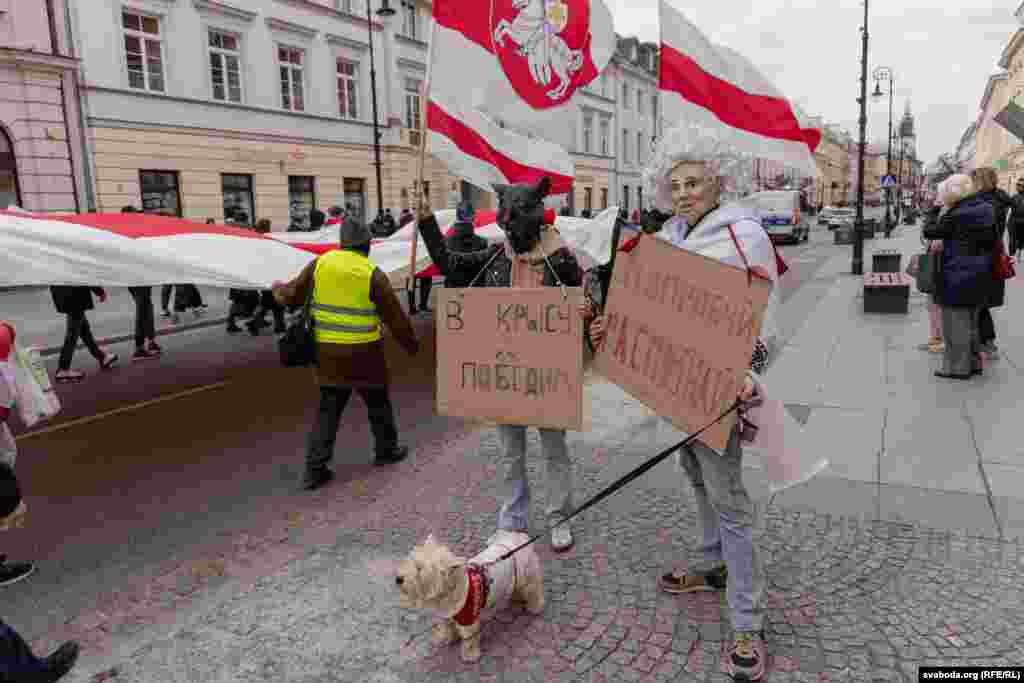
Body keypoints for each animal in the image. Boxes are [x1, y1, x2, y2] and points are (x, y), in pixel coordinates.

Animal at [395, 528, 548, 663]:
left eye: (419, 569)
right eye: (409, 560)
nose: (398, 579)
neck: (448, 591)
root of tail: (521, 538)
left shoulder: (468, 617)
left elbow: (469, 638)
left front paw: (470, 655)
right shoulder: (446, 614)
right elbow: (446, 626)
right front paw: (444, 638)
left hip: (527, 575)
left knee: (534, 590)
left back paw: (535, 607)